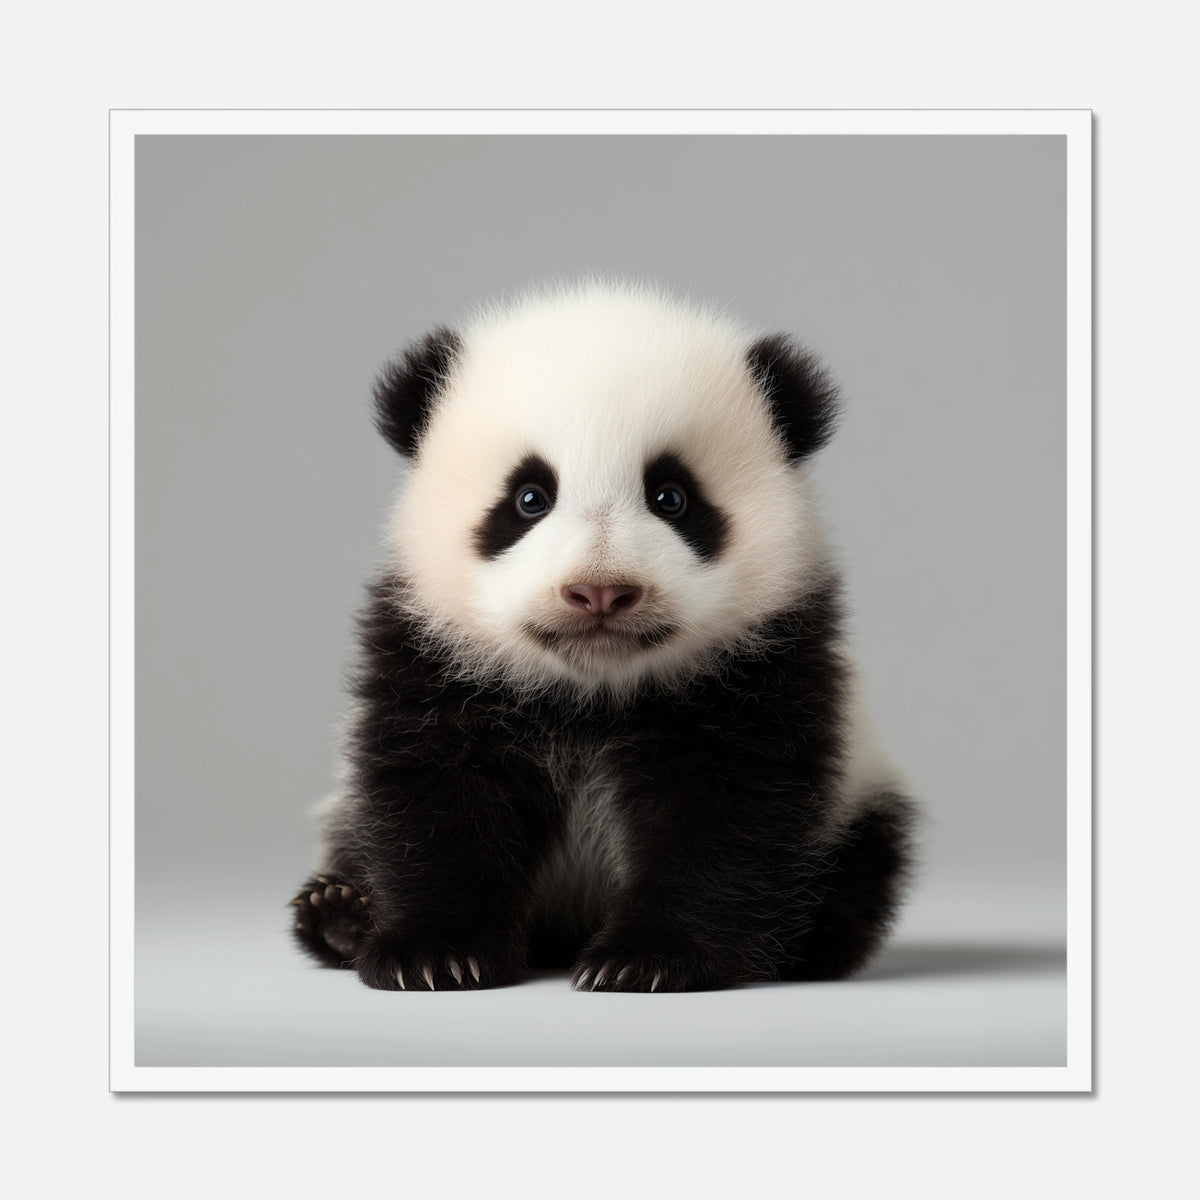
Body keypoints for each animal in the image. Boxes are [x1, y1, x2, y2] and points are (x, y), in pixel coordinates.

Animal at [290, 280, 915, 992]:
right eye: (529, 498)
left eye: (672, 497)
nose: (600, 592)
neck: (593, 691)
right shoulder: (432, 650)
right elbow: (434, 791)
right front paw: (432, 953)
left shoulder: (765, 662)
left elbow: (726, 809)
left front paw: (648, 958)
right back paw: (338, 913)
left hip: (858, 796)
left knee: (860, 868)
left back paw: (810, 936)